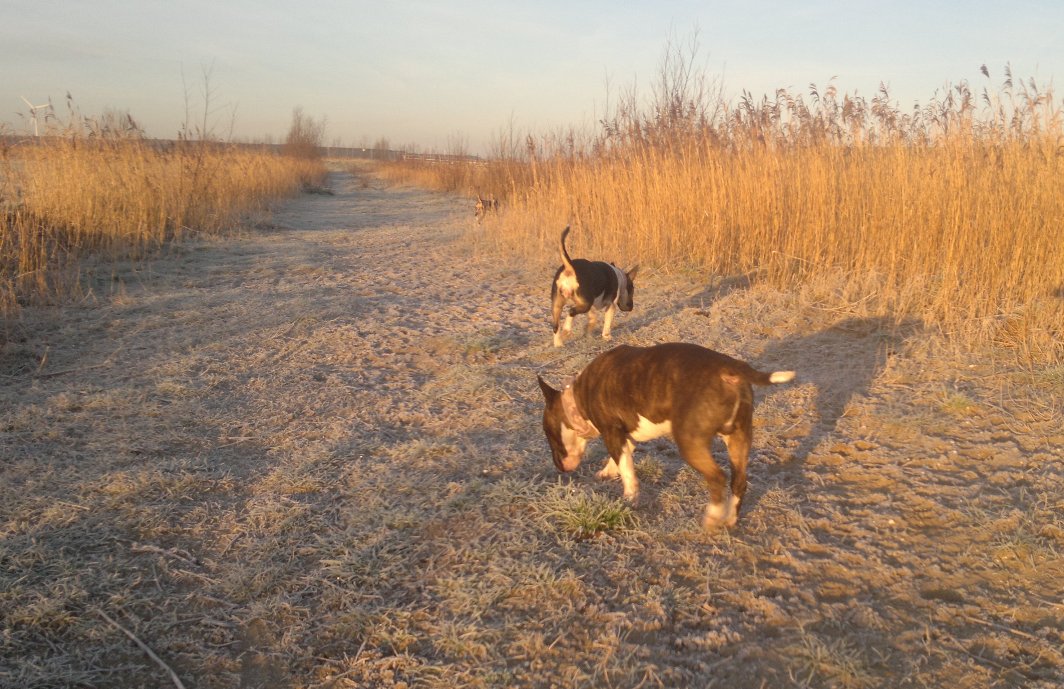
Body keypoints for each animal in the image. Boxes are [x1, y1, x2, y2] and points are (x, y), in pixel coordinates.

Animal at [536, 342, 795, 529]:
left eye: (547, 433)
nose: (558, 466)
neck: (577, 400)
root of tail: (730, 367)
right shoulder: (623, 436)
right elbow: (620, 458)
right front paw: (608, 472)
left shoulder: (611, 432)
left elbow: (626, 469)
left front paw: (629, 498)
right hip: (739, 439)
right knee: (738, 481)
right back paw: (730, 519)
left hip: (691, 443)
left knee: (717, 477)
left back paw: (712, 517)